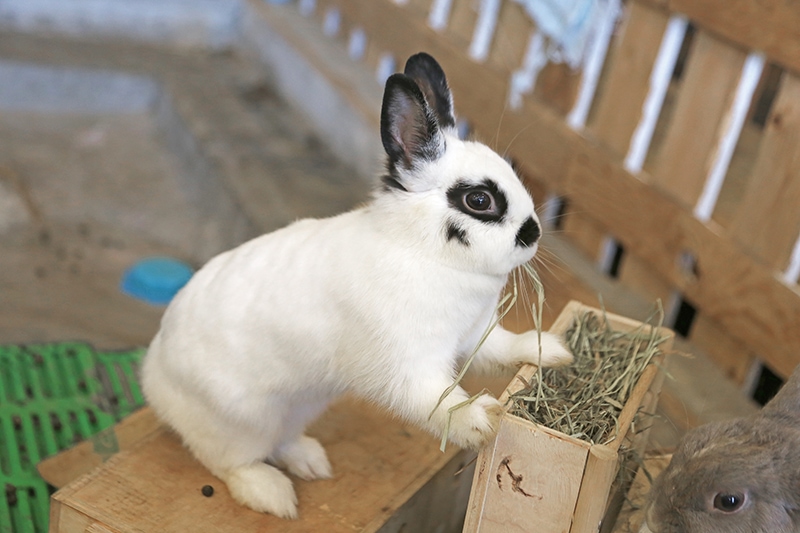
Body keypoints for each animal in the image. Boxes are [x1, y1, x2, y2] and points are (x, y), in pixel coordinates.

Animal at [141, 52, 572, 516]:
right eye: (479, 200)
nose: (533, 234)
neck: (423, 251)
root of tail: (154, 375)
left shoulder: (474, 334)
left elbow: (504, 347)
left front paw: (553, 352)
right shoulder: (407, 365)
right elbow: (437, 401)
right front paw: (485, 421)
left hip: (298, 408)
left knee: (280, 443)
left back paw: (311, 462)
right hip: (238, 424)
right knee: (230, 463)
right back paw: (274, 495)